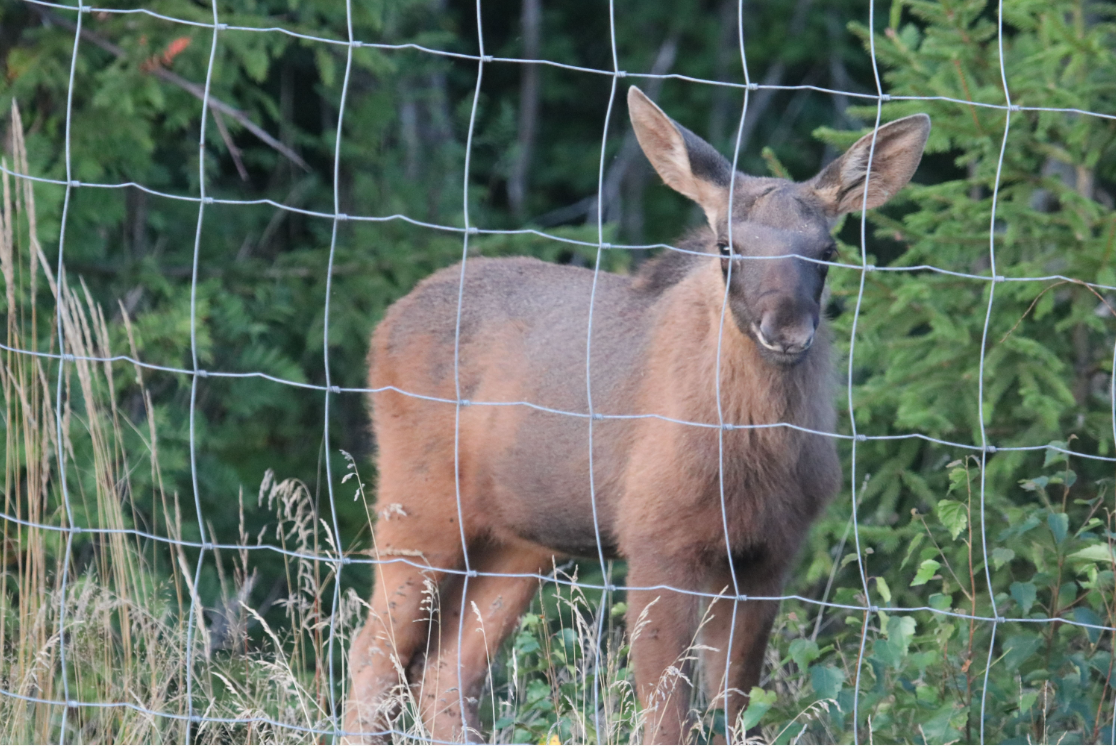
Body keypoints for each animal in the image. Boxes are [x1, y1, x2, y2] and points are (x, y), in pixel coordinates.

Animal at [343, 85, 928, 741]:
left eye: (828, 249)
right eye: (727, 245)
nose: (788, 330)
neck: (753, 446)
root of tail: (385, 325)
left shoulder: (767, 553)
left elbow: (737, 705)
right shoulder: (657, 541)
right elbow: (667, 712)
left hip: (518, 540)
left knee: (448, 670)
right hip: (418, 505)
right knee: (371, 656)